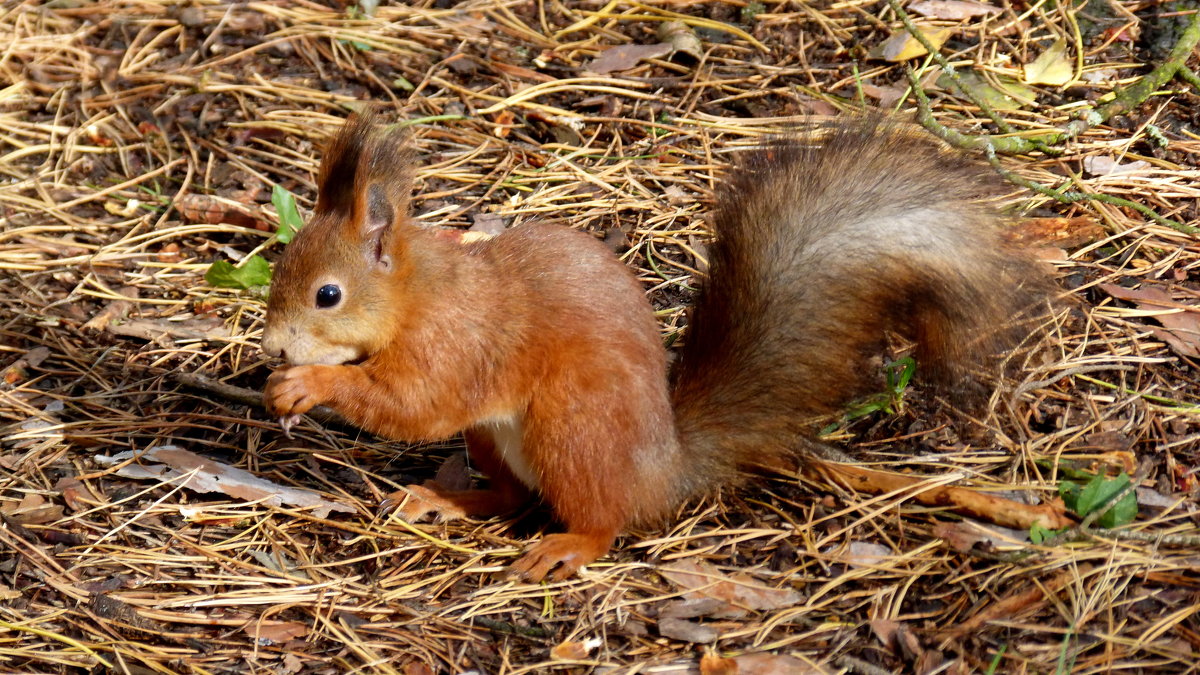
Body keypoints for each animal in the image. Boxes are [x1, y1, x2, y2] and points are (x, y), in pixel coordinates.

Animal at [260, 110, 1051, 578]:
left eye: (327, 294)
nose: (273, 347)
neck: (418, 292)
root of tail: (663, 472)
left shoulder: (458, 342)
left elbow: (416, 404)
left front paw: (310, 385)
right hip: (498, 439)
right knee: (513, 496)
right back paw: (448, 500)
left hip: (570, 431)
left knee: (600, 519)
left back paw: (566, 546)